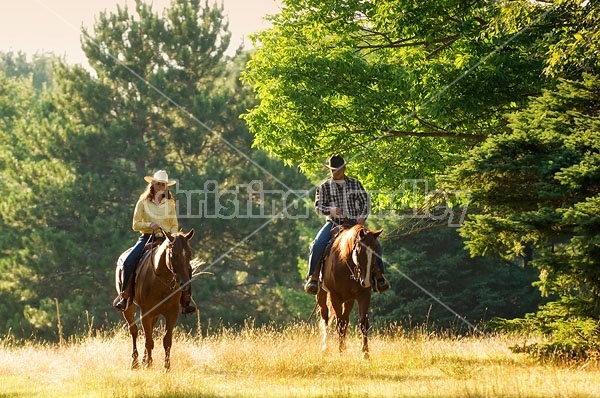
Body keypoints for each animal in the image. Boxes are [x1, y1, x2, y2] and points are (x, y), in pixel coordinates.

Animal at [115, 229, 195, 372]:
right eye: (173, 254)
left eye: (189, 254)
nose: (184, 283)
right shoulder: (145, 313)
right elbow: (149, 340)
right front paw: (148, 364)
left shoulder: (172, 313)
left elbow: (166, 341)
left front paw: (166, 367)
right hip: (128, 306)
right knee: (134, 330)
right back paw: (135, 362)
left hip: (156, 314)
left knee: (148, 332)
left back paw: (143, 360)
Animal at [316, 225, 382, 360]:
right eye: (359, 252)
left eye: (375, 253)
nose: (366, 281)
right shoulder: (334, 296)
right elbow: (339, 324)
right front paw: (340, 351)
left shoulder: (364, 295)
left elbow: (363, 323)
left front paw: (365, 353)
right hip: (322, 296)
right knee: (325, 319)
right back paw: (325, 347)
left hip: (349, 300)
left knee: (345, 320)